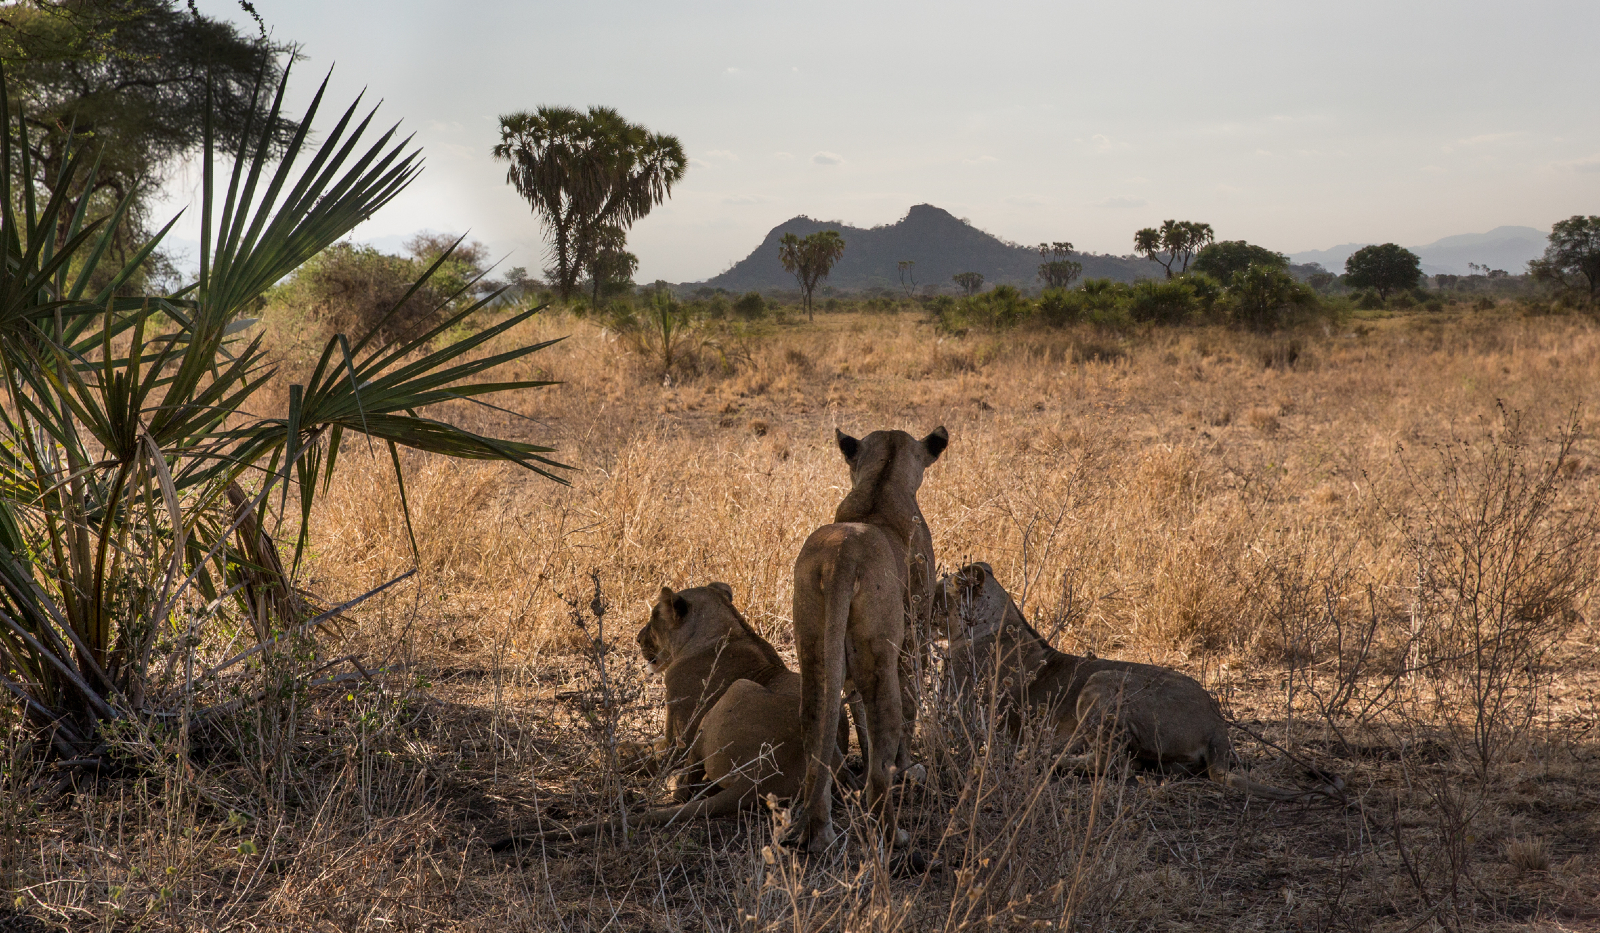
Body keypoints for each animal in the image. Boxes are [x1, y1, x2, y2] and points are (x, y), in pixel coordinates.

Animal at [486, 579, 832, 851]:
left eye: (654, 617)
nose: (637, 638)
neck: (730, 628)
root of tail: (772, 775)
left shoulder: (676, 742)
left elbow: (632, 751)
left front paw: (593, 755)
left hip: (736, 692)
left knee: (683, 789)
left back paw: (670, 782)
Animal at [934, 563, 1344, 803]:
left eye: (937, 595)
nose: (920, 605)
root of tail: (1218, 725)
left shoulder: (968, 715)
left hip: (1102, 680)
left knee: (1111, 763)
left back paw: (1040, 758)